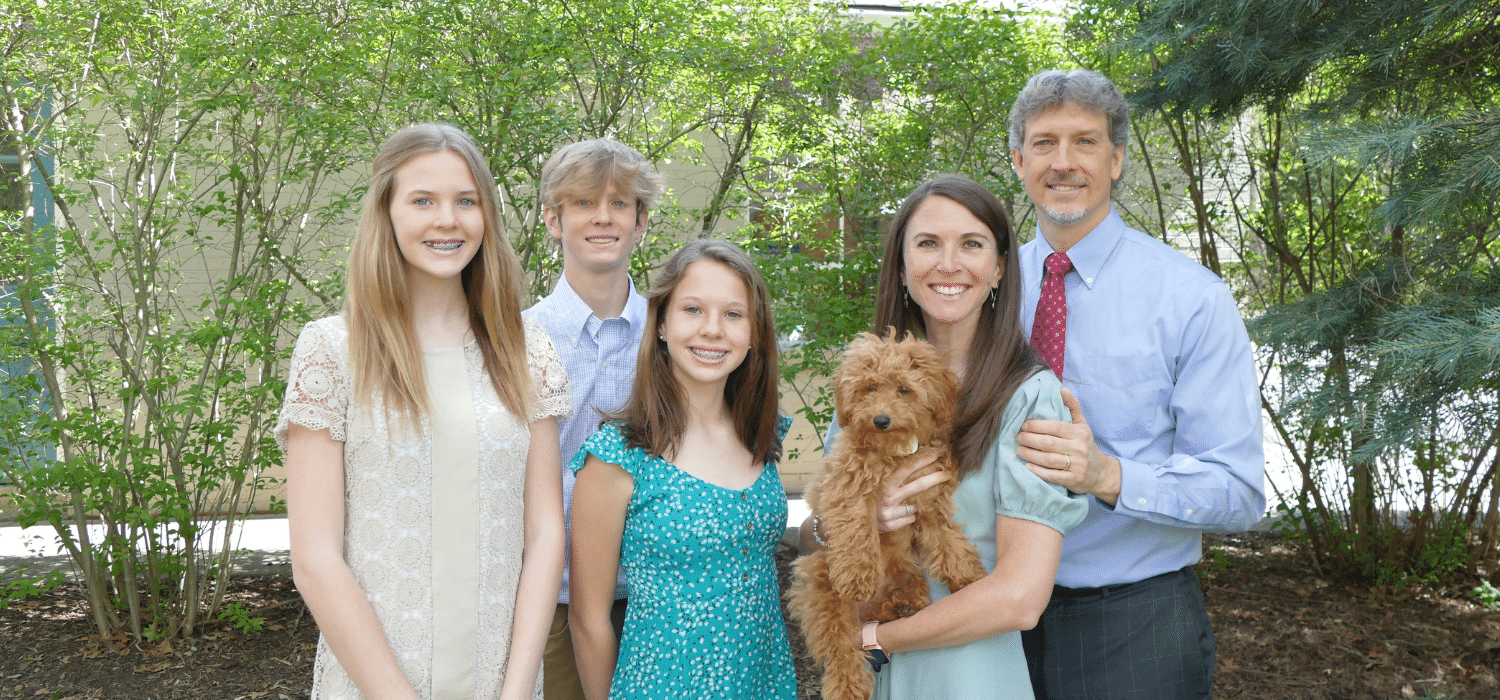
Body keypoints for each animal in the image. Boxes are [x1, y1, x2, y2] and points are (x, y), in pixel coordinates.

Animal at [792, 332, 990, 700]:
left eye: (903, 389)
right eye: (870, 387)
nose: (881, 420)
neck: (892, 451)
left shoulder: (927, 499)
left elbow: (946, 538)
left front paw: (968, 576)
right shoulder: (847, 491)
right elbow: (857, 530)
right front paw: (858, 576)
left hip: (901, 564)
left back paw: (906, 601)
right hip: (823, 587)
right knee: (841, 648)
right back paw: (847, 685)